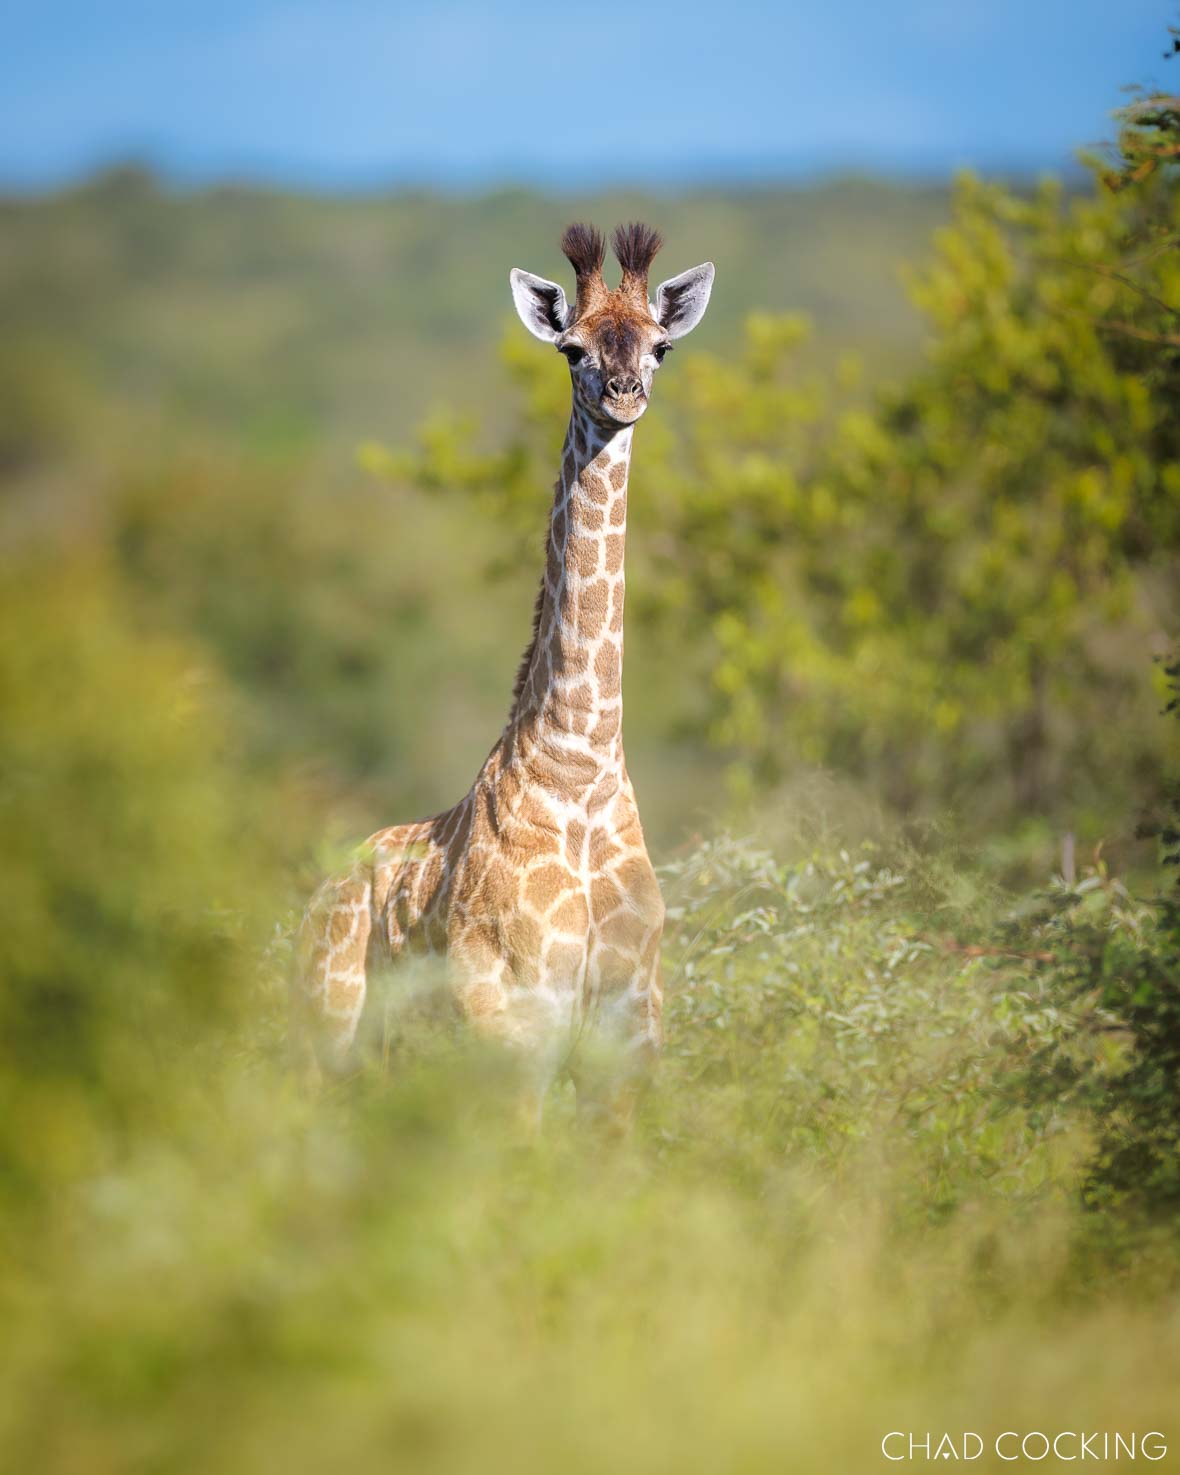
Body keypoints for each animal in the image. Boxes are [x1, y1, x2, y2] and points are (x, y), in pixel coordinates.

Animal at [293, 221, 714, 1129]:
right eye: (571, 348)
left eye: (661, 345)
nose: (624, 392)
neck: (581, 763)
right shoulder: (514, 1041)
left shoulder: (629, 1048)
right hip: (324, 1036)